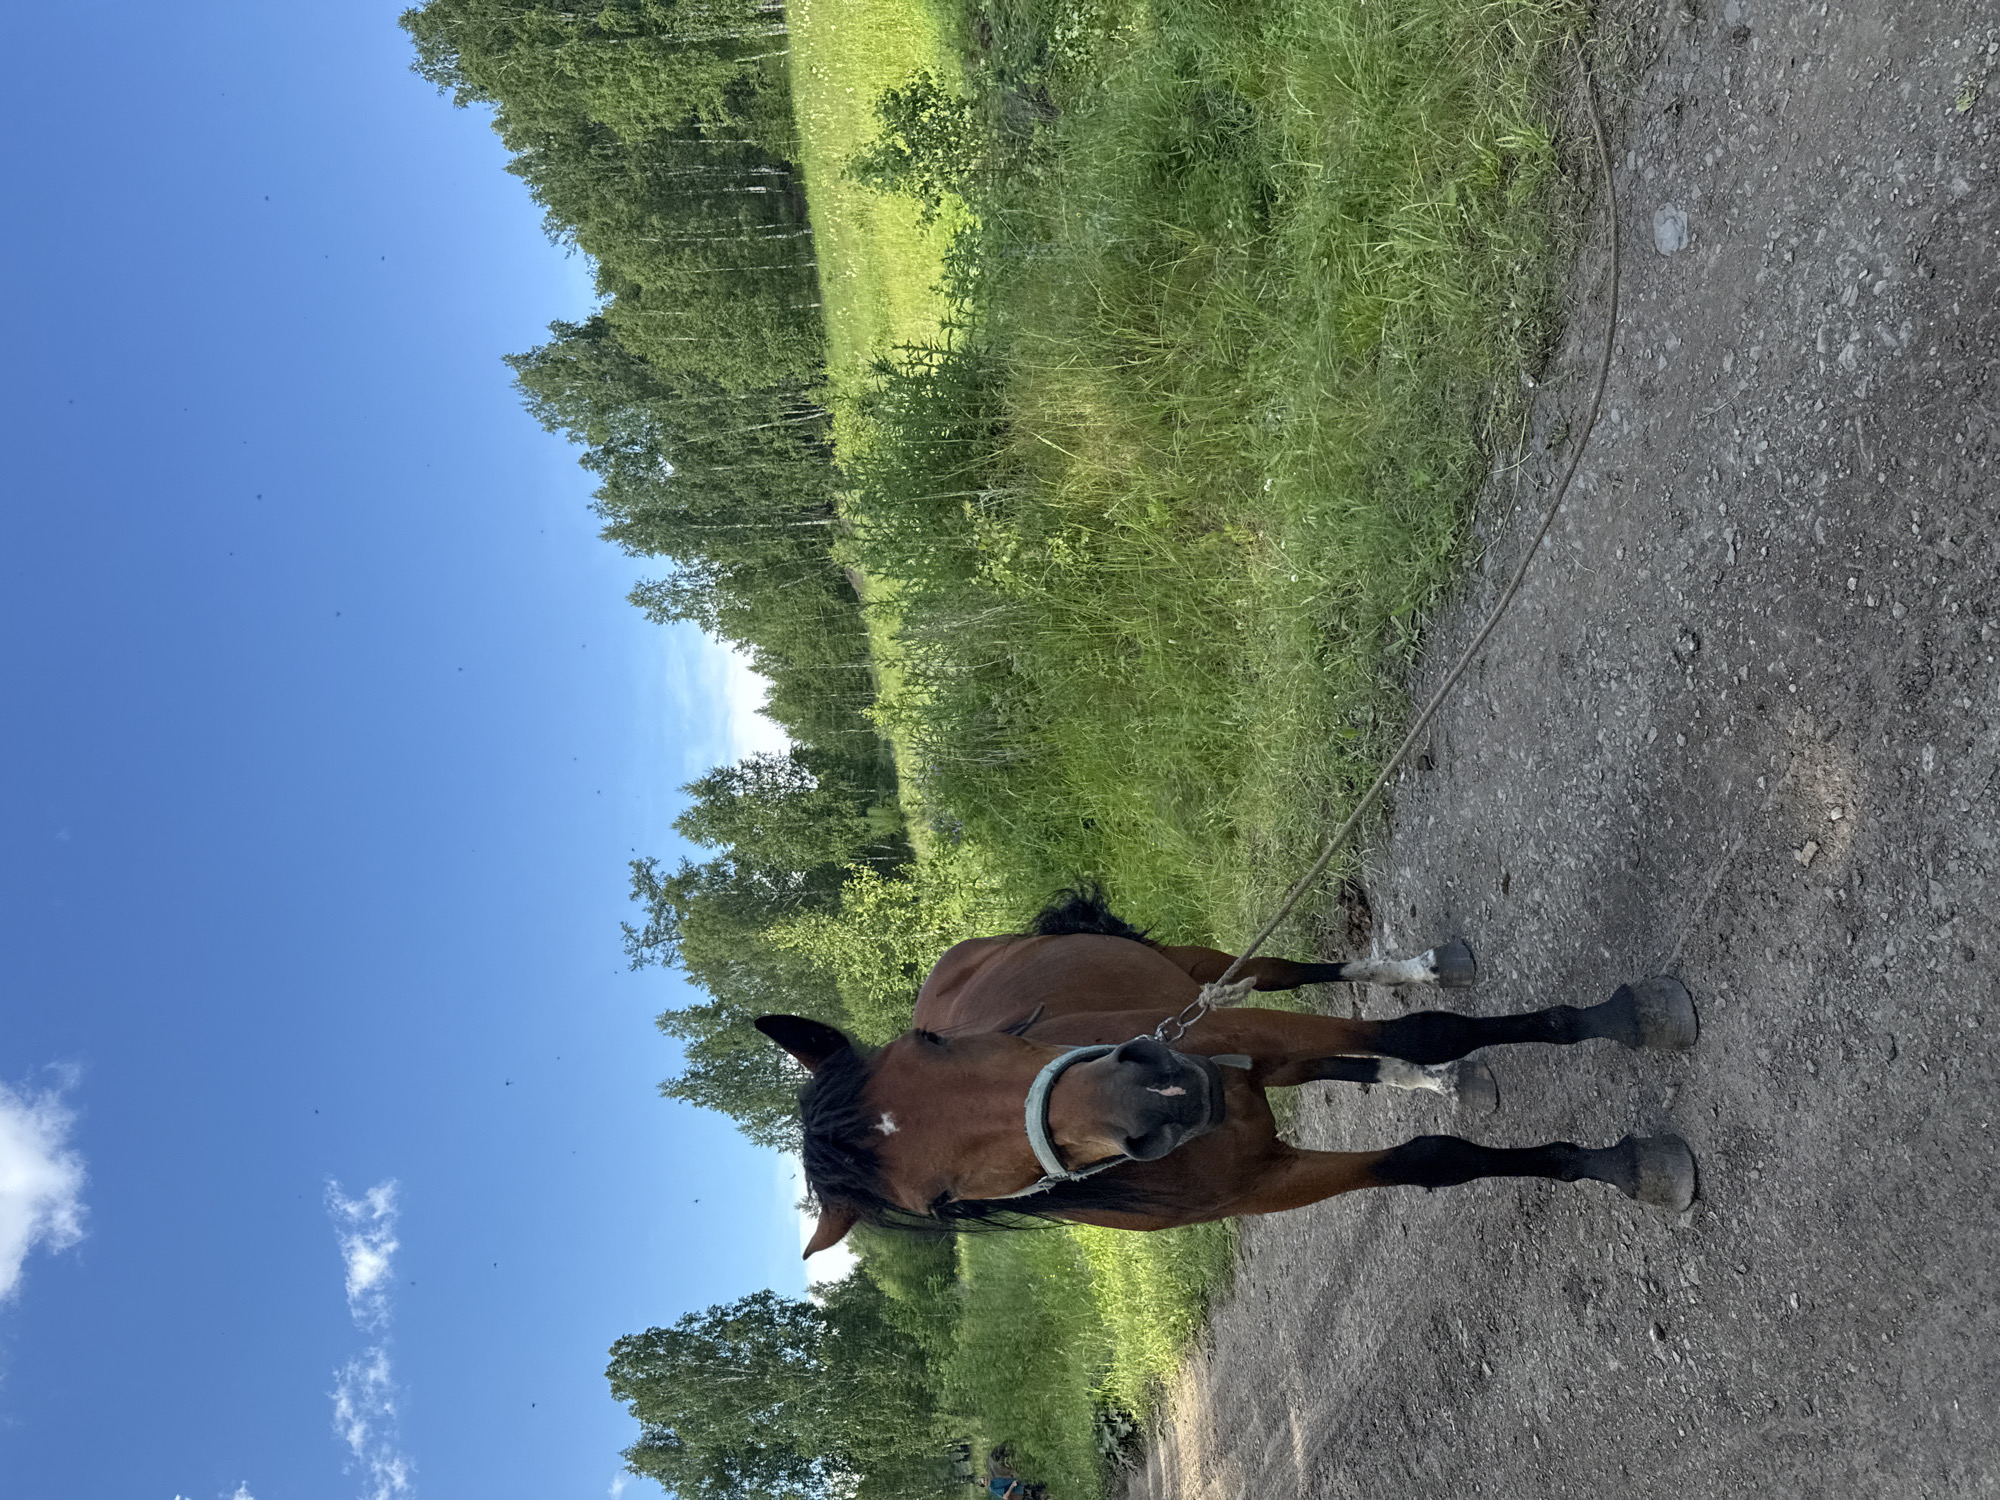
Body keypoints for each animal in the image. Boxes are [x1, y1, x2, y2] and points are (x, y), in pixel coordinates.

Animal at [756, 888, 1698, 1257]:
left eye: (935, 1045)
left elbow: (1424, 1029)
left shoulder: (1242, 1027)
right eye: (943, 1201)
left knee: (1296, 976)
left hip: (1201, 978)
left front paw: (1624, 1021)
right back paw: (1435, 1082)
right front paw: (1623, 1164)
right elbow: (1432, 1157)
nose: (1157, 1093)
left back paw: (1425, 970)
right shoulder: (1273, 1181)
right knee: (1348, 1063)